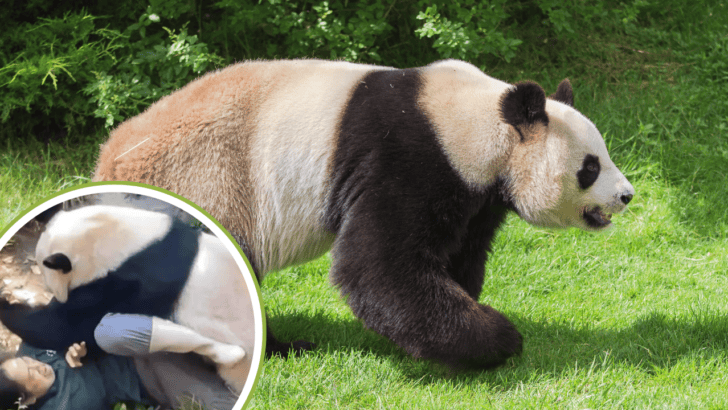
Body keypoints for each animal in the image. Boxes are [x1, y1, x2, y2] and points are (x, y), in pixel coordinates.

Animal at [93, 59, 635, 369]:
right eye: (590, 166)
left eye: (603, 156)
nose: (626, 195)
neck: (480, 121)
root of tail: (109, 158)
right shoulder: (407, 156)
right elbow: (378, 267)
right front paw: (498, 338)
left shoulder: (475, 192)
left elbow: (457, 255)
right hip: (208, 183)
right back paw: (279, 348)